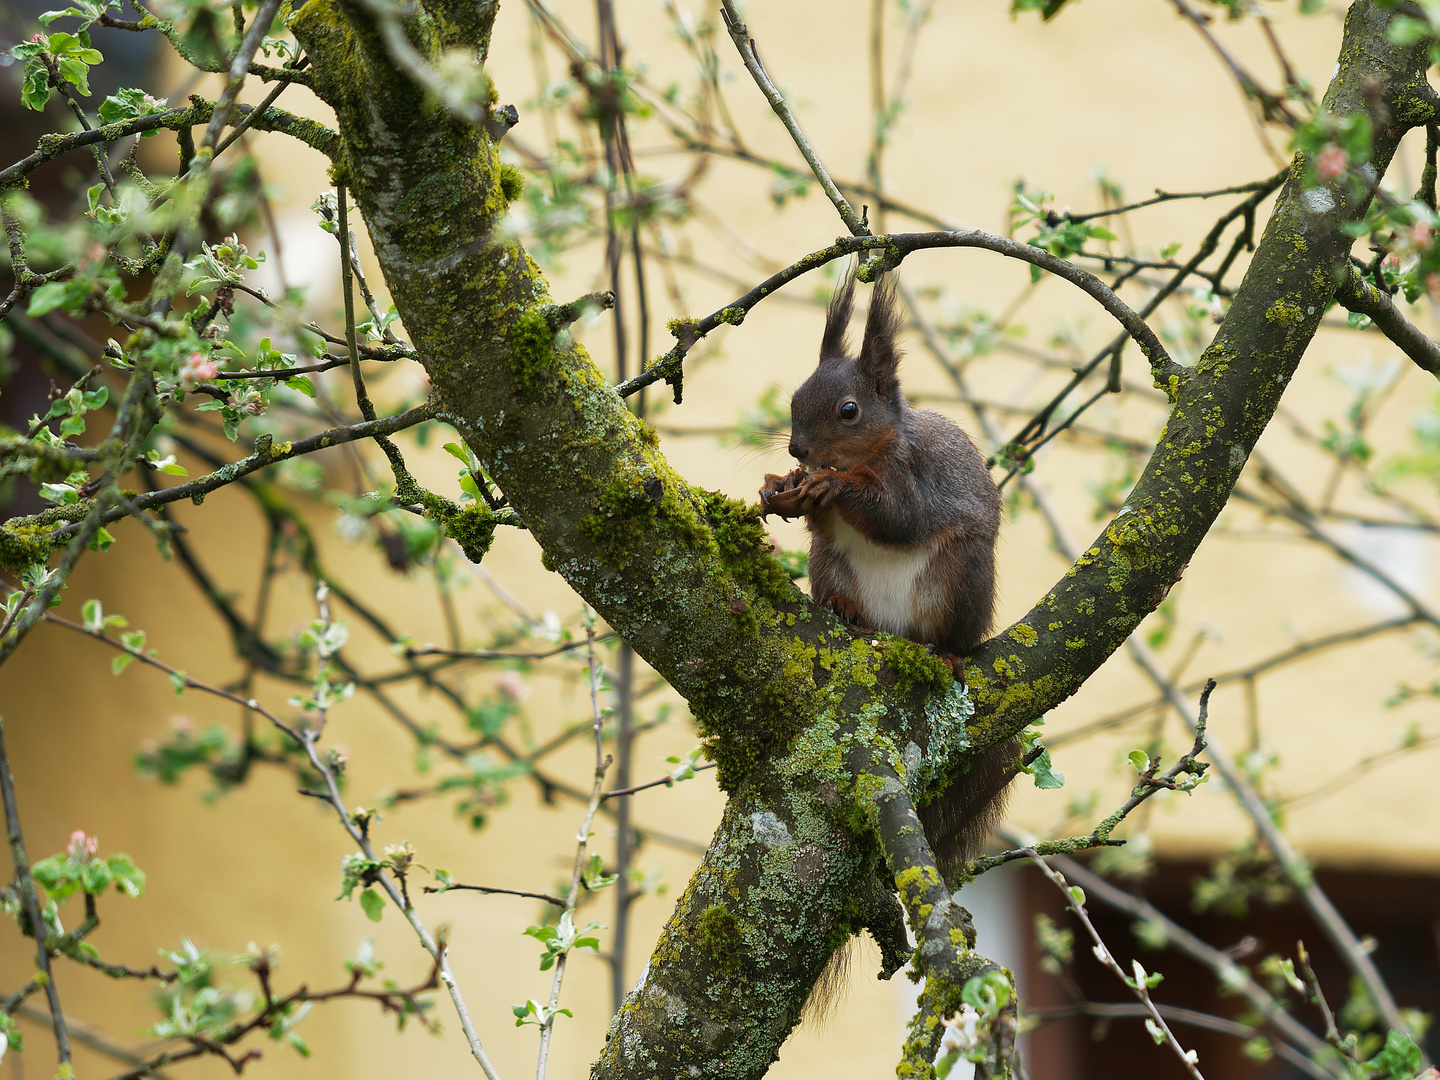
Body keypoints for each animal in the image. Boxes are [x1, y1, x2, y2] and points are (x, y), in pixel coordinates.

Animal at [760, 266, 1019, 875]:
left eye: (848, 410)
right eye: (795, 398)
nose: (798, 449)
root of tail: (895, 632)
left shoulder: (912, 477)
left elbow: (898, 517)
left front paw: (832, 486)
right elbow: (817, 521)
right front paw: (780, 488)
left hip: (959, 577)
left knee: (950, 634)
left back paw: (945, 651)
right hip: (829, 566)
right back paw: (843, 609)